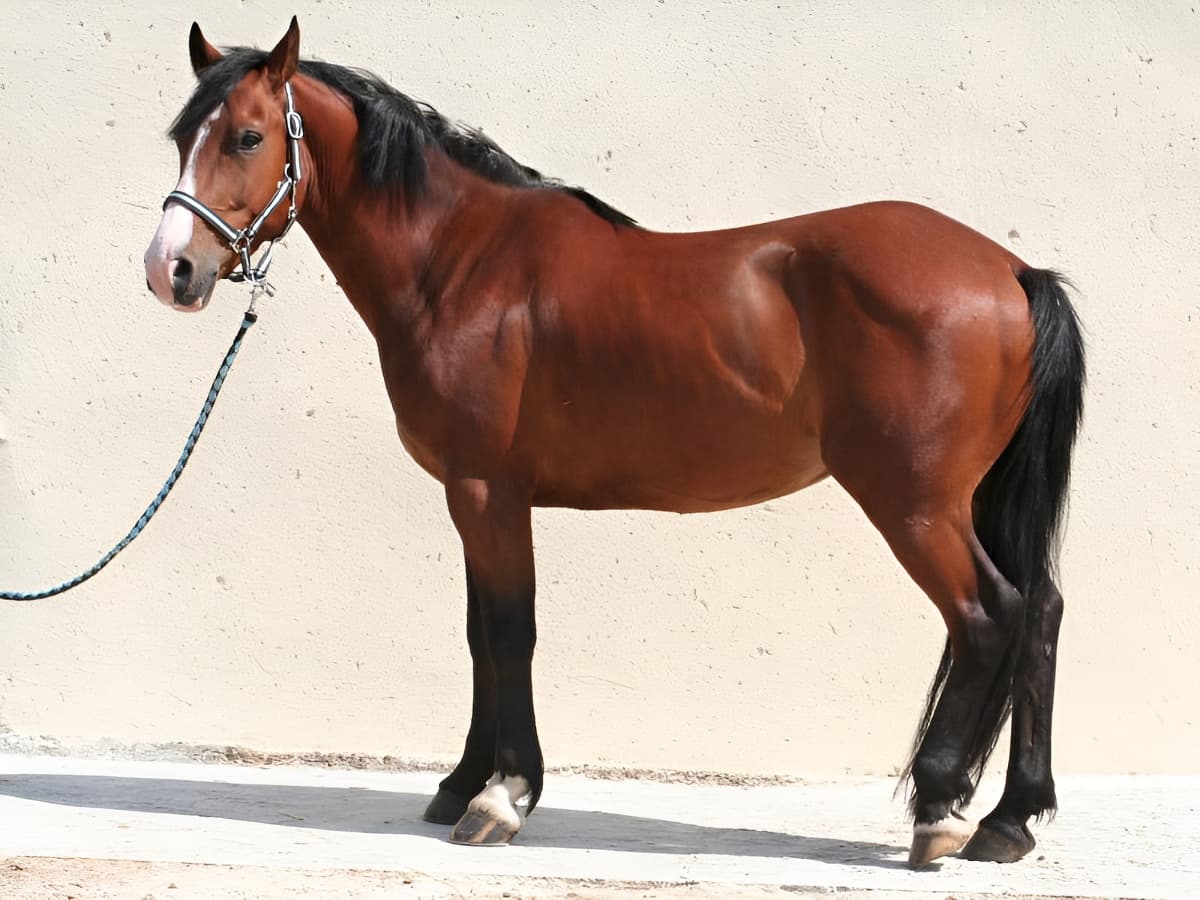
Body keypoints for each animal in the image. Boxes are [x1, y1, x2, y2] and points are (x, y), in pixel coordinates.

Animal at [144, 18, 1084, 867]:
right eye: (182, 136)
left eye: (248, 136)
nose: (171, 270)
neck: (462, 261)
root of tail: (1009, 270)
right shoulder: (471, 494)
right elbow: (479, 634)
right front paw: (460, 782)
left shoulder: (487, 490)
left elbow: (511, 630)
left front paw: (504, 797)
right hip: (968, 501)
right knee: (1040, 611)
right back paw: (1009, 821)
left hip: (914, 504)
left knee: (989, 616)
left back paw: (938, 809)